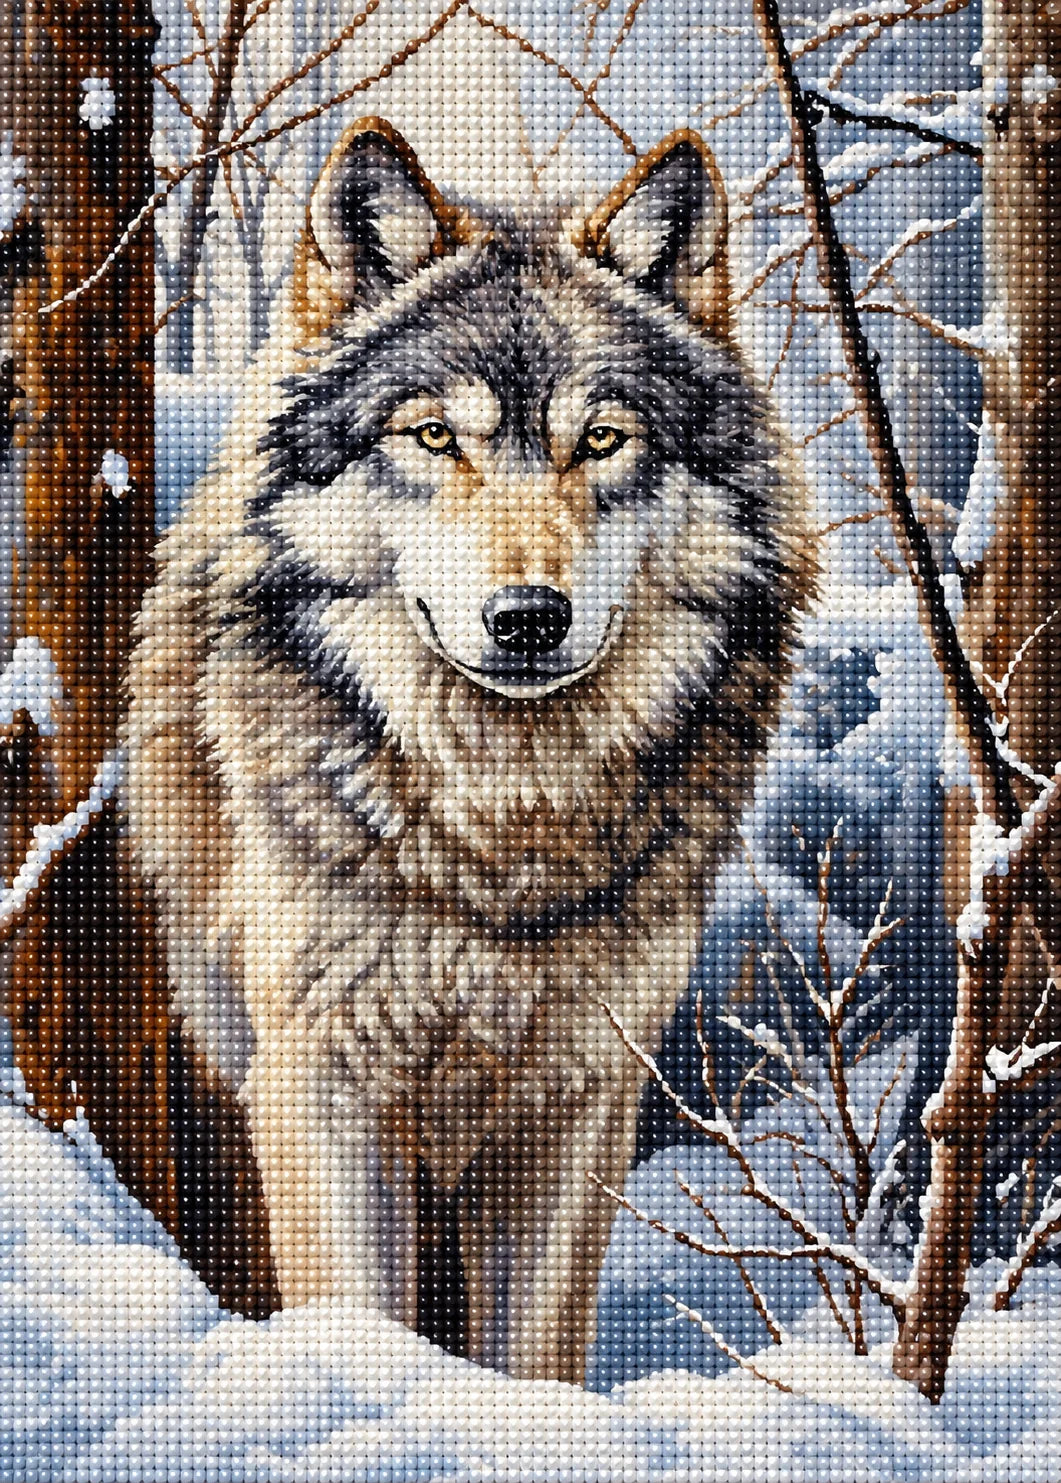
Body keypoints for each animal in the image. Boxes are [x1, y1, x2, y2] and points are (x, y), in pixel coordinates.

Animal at [124, 117, 815, 1383]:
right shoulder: (317, 1084)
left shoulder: (580, 1094)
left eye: (603, 440)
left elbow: (536, 1347)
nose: (528, 616)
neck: (499, 830)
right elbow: (354, 1314)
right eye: (434, 436)